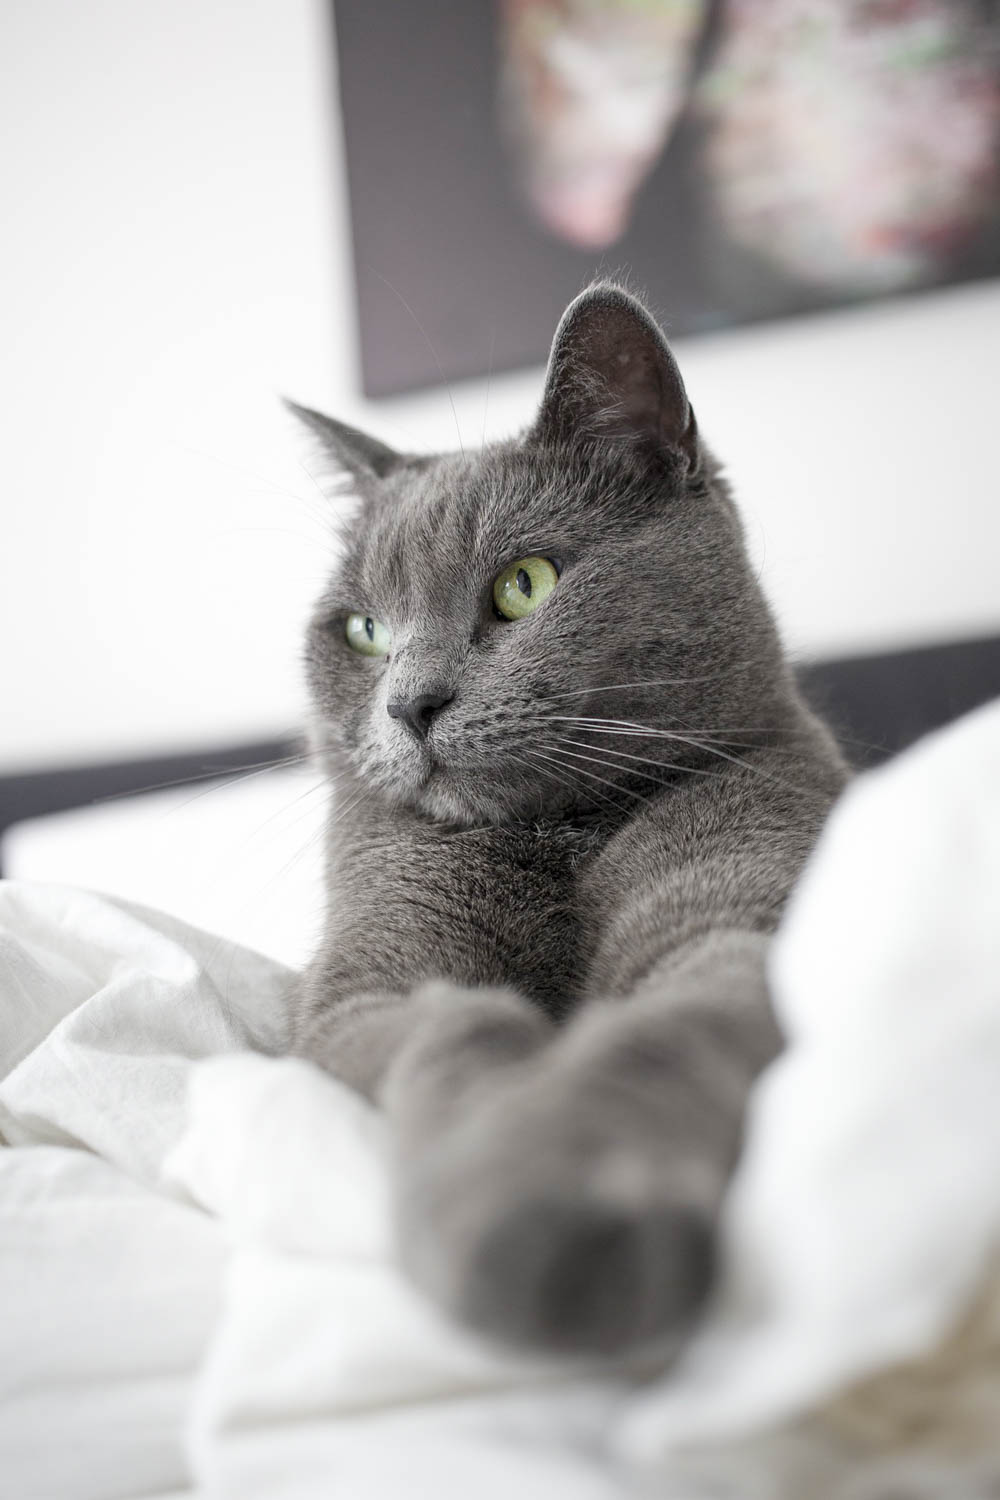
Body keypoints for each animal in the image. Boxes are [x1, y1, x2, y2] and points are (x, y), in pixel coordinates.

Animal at [293, 282, 851, 1362]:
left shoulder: (742, 898)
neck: (555, 839)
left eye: (525, 584)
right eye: (365, 630)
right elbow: (456, 1027)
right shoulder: (362, 989)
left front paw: (571, 1216)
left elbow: (662, 1025)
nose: (410, 704)